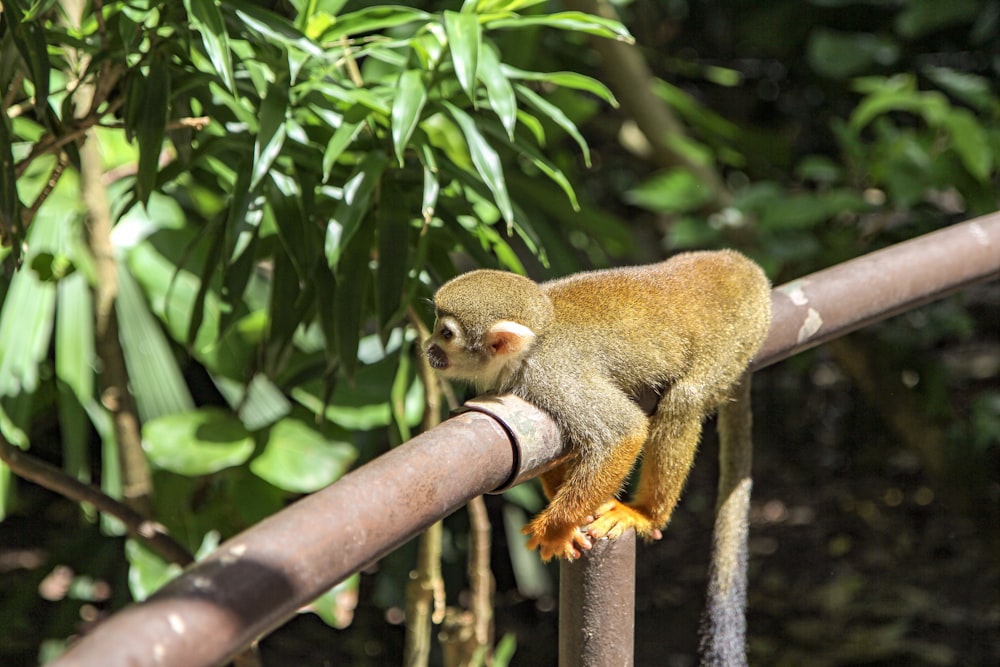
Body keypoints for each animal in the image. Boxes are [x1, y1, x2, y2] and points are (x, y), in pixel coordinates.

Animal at [422, 250, 772, 564]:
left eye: (446, 333)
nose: (428, 347)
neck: (535, 342)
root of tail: (743, 266)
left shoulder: (553, 375)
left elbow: (625, 431)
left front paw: (555, 527)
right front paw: (570, 518)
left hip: (736, 337)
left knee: (684, 399)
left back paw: (646, 513)